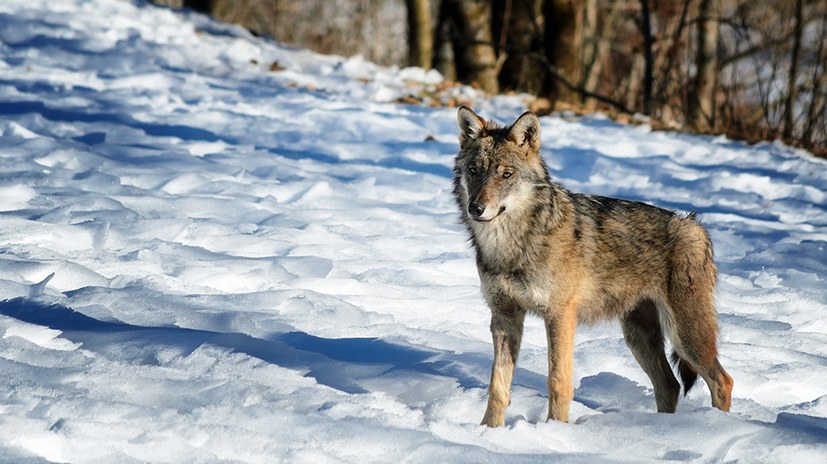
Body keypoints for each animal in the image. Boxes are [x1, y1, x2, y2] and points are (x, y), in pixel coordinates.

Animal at [456, 107, 736, 426]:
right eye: (474, 170)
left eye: (506, 174)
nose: (476, 208)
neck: (512, 245)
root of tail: (695, 226)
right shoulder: (504, 316)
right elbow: (498, 385)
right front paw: (489, 430)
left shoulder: (560, 315)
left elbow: (558, 381)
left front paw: (555, 428)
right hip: (639, 337)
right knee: (670, 385)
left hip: (686, 335)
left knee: (722, 381)